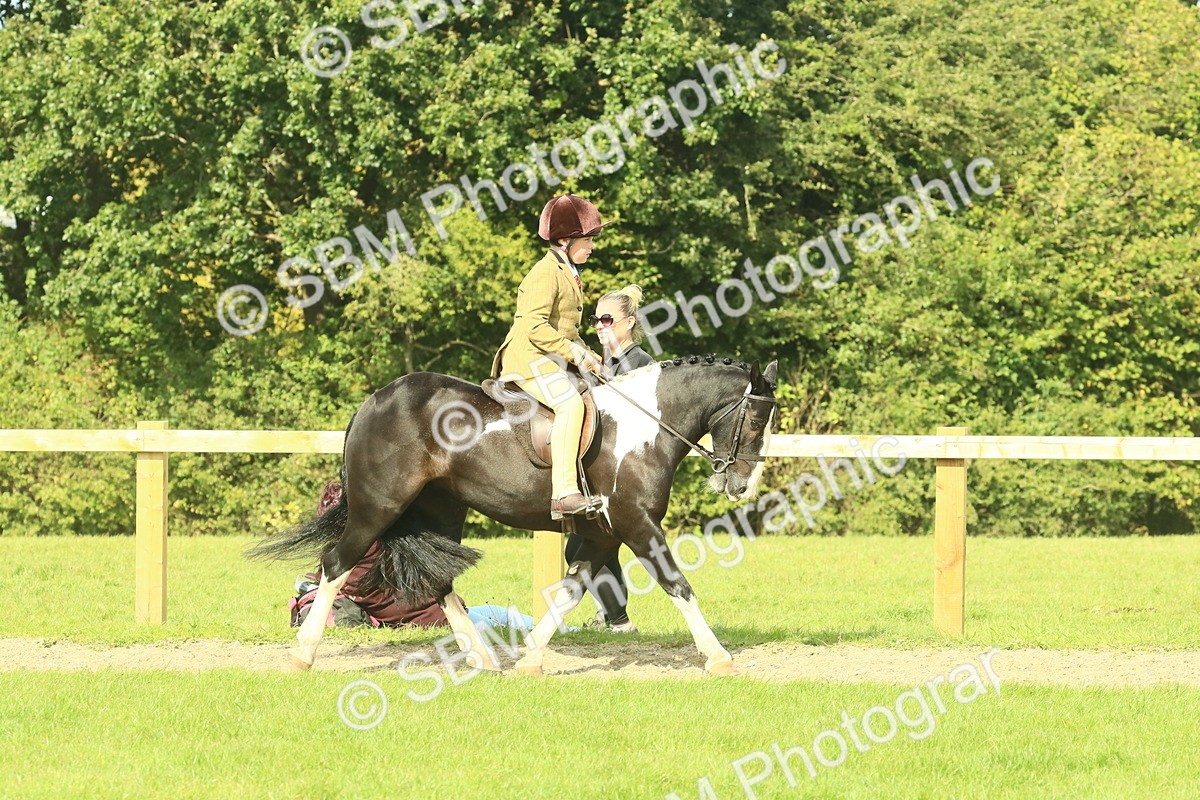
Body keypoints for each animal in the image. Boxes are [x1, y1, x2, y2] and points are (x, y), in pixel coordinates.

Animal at [248, 355, 778, 676]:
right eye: (755, 420)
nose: (741, 485)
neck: (642, 428)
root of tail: (375, 400)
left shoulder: (604, 534)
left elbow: (569, 591)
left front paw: (529, 659)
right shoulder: (637, 525)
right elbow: (677, 584)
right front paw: (719, 657)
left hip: (440, 511)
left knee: (439, 582)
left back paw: (483, 657)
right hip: (378, 507)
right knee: (336, 564)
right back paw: (303, 655)